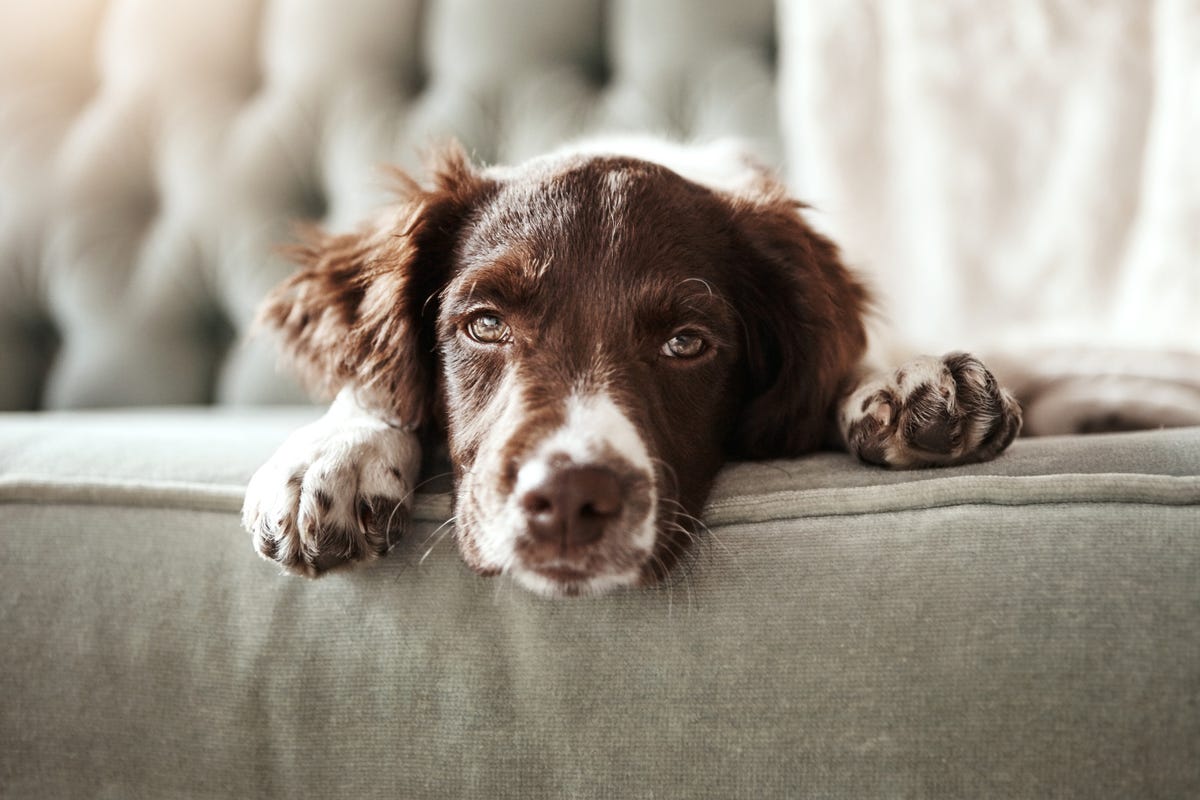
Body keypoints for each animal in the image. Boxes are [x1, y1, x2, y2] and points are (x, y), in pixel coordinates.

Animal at [241, 137, 1022, 597]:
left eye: (687, 343)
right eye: (484, 324)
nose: (567, 499)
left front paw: (909, 384)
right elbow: (374, 382)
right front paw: (332, 455)